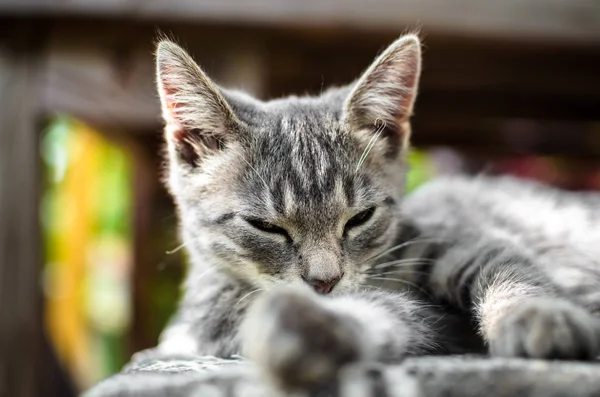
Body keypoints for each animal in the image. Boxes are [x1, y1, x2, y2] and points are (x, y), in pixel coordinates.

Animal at [156, 34, 600, 390]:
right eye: (265, 226)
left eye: (360, 218)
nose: (324, 282)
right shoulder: (225, 317)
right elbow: (388, 313)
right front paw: (309, 329)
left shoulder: (459, 237)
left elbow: (509, 270)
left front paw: (537, 315)